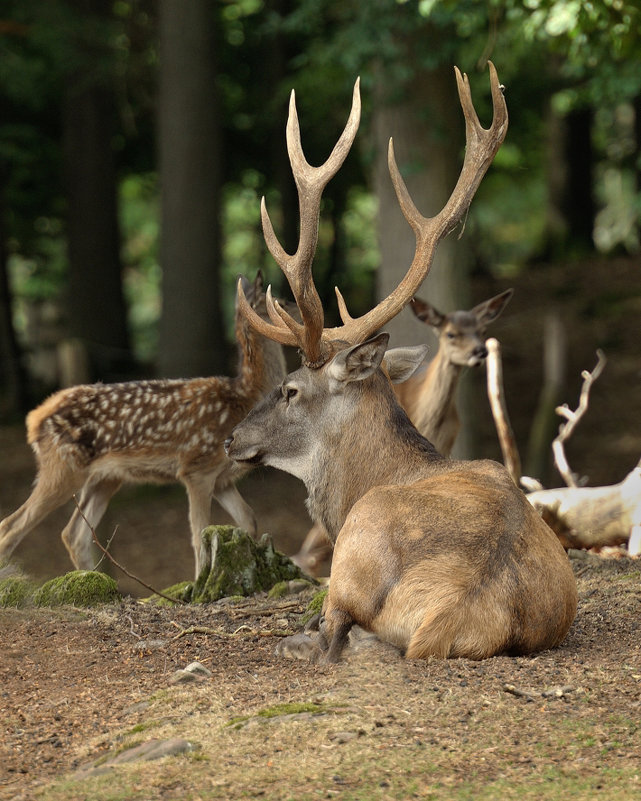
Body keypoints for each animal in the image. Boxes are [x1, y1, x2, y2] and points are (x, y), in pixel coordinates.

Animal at [0, 274, 284, 576]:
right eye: (279, 300)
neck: (244, 396)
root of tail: (34, 419)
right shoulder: (196, 467)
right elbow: (199, 535)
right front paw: (199, 581)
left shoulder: (222, 480)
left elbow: (249, 520)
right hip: (62, 468)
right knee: (11, 526)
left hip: (105, 479)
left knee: (73, 534)